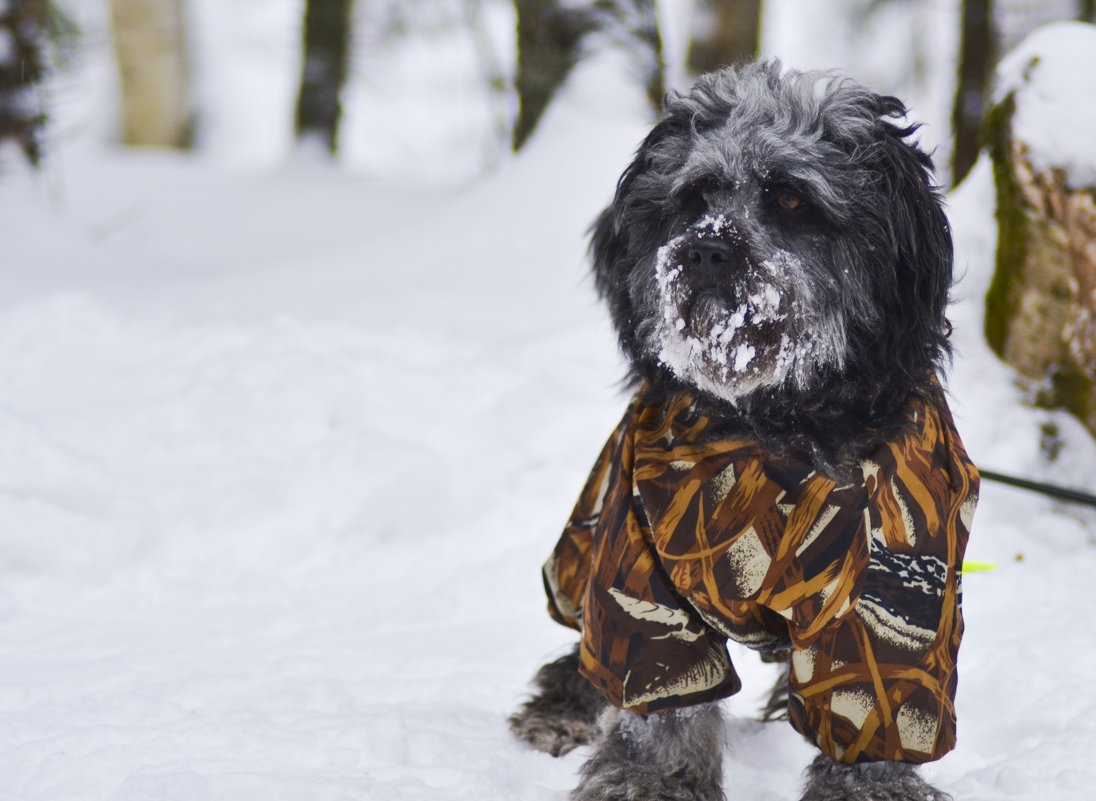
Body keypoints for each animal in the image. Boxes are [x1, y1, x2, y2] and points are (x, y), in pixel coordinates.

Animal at [508, 61, 982, 801]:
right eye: (698, 192)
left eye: (789, 199)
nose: (706, 249)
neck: (775, 423)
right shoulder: (643, 567)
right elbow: (664, 694)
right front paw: (655, 779)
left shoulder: (897, 584)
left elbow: (877, 700)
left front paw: (869, 786)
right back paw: (559, 710)